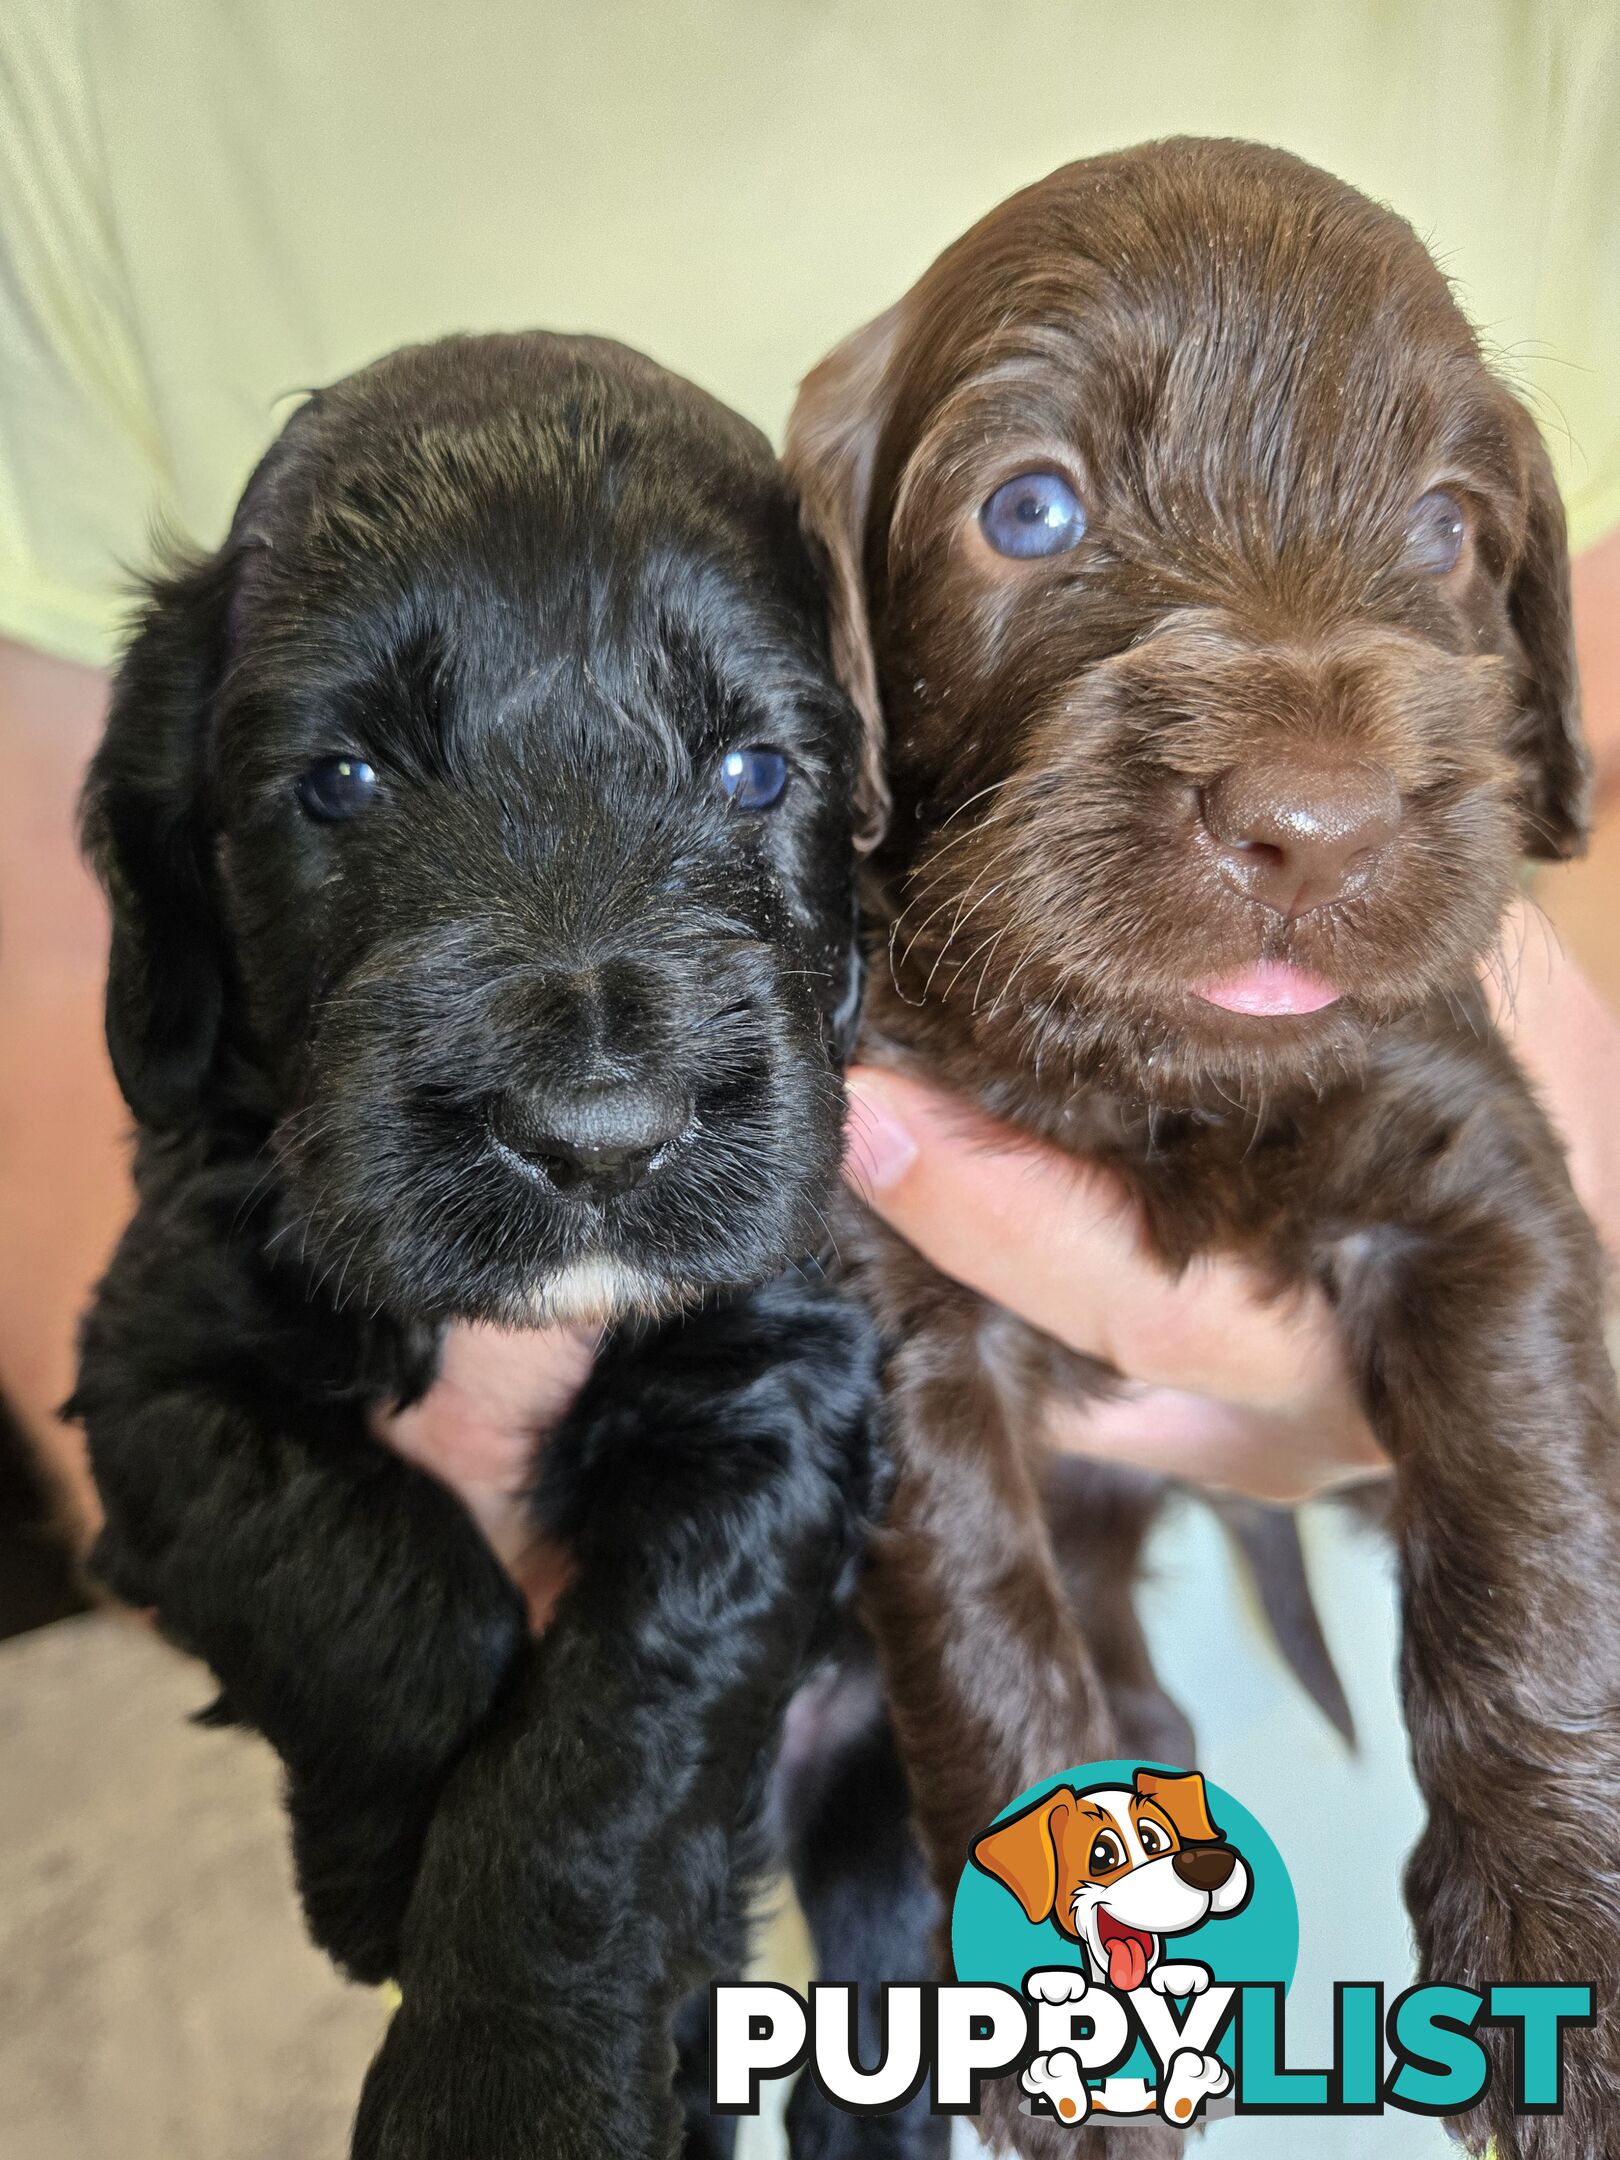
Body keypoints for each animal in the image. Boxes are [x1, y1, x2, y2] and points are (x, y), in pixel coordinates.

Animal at [69, 328, 902, 2151]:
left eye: (755, 771)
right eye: (341, 779)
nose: (597, 1132)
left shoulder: (778, 1384)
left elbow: (607, 1746)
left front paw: (511, 2080)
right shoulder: (157, 1365)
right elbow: (366, 1576)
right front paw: (378, 1877)